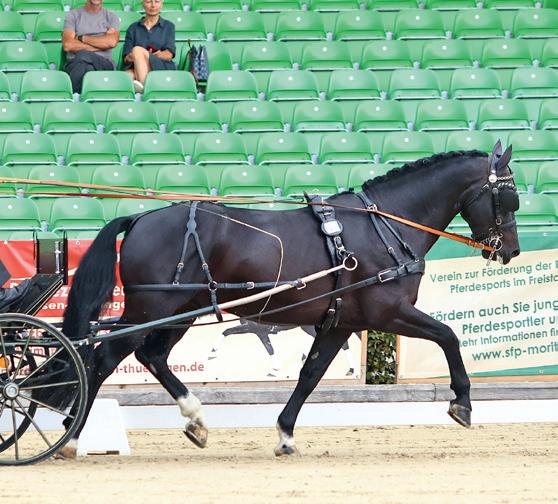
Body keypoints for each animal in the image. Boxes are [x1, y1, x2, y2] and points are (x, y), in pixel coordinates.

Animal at [51, 142, 520, 459]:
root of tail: (141, 218)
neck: (385, 227)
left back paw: (195, 420)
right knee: (103, 358)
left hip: (180, 311)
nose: (511, 250)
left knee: (152, 357)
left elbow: (310, 375)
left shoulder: (342, 323)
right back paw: (72, 436)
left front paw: (285, 434)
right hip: (152, 309)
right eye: (509, 195)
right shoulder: (390, 313)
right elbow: (448, 336)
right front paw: (462, 404)